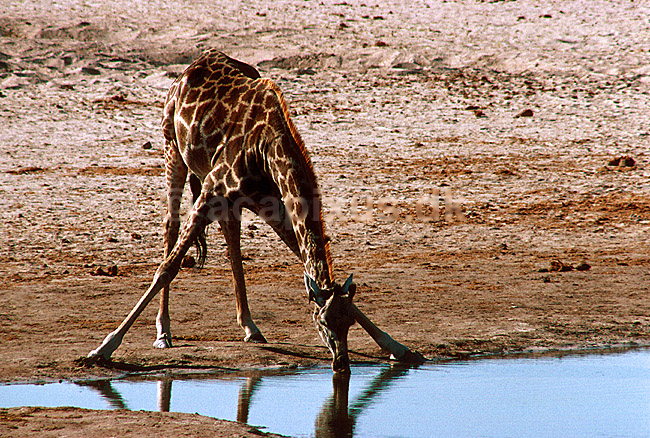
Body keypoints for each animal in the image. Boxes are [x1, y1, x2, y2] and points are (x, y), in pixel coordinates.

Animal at [87, 50, 423, 373]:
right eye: (323, 321)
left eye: (349, 322)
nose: (341, 363)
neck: (267, 149)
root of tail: (188, 70)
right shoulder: (210, 192)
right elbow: (168, 267)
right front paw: (104, 348)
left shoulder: (272, 205)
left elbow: (301, 254)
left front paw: (397, 348)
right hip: (173, 150)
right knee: (171, 225)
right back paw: (163, 332)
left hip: (225, 196)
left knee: (231, 240)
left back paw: (250, 327)